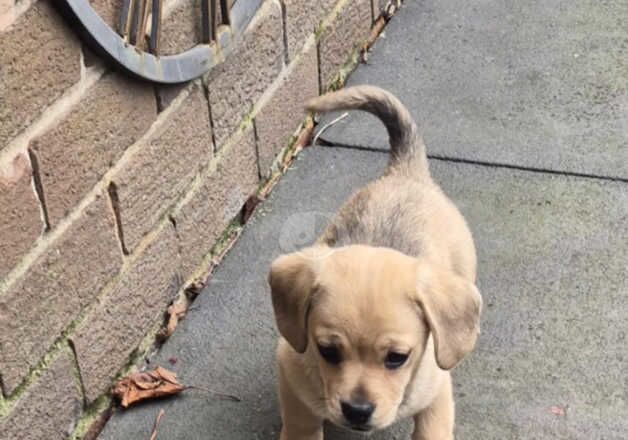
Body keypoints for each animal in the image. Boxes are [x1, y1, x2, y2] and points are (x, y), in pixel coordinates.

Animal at [268, 87, 480, 440]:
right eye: (327, 351)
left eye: (397, 358)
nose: (357, 410)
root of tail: (406, 172)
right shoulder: (291, 372)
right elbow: (301, 425)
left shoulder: (437, 394)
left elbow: (431, 429)